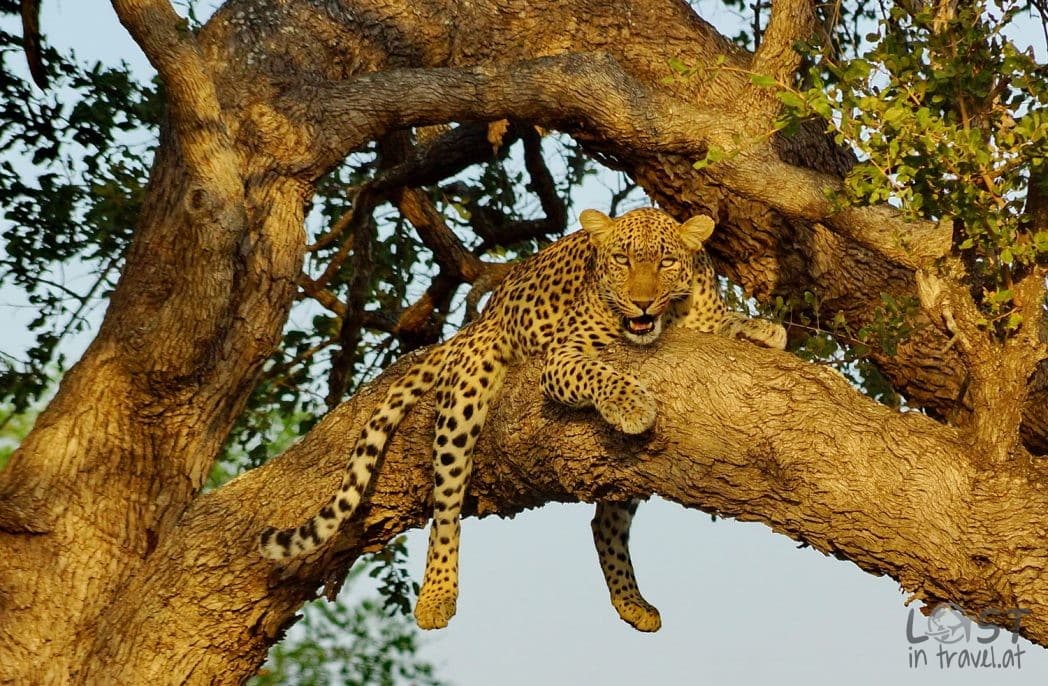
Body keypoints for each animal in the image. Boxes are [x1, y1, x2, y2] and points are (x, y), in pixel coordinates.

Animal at [262, 208, 788, 632]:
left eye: (665, 262)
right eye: (621, 260)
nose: (641, 303)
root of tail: (483, 316)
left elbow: (728, 324)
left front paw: (762, 328)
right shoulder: (560, 359)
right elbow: (597, 371)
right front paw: (632, 404)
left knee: (604, 523)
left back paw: (632, 603)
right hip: (465, 398)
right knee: (446, 506)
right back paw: (436, 596)